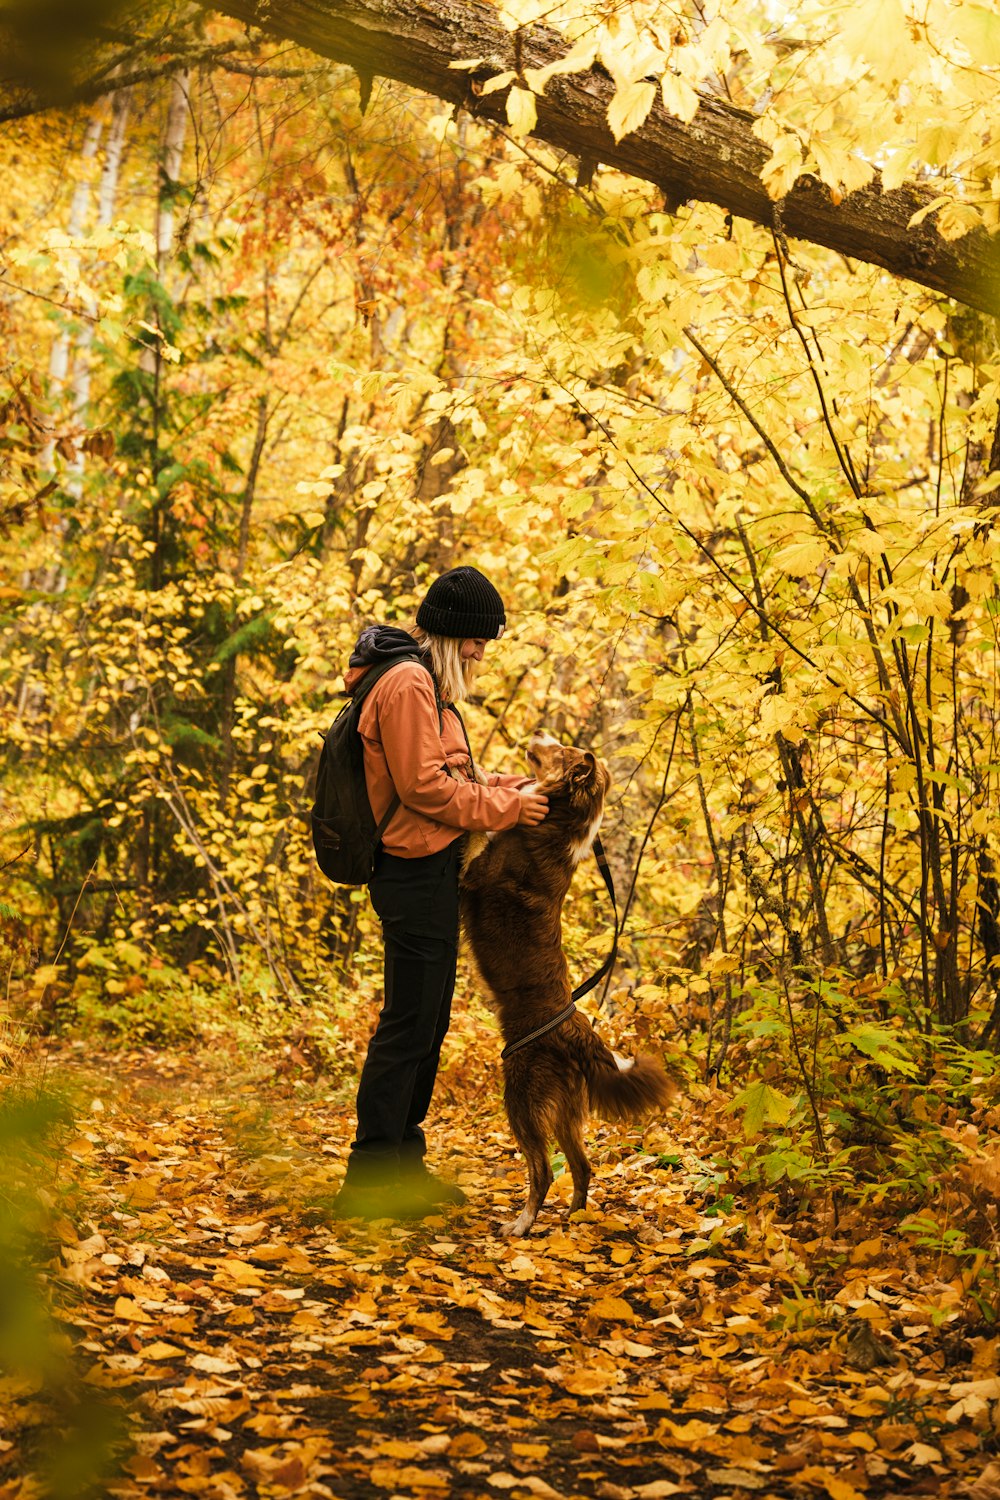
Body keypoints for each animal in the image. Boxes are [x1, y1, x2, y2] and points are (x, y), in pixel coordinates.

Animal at [458, 732, 677, 1236]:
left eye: (561, 750)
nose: (538, 732)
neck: (558, 819)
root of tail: (581, 1034)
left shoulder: (471, 874)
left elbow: (475, 835)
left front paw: (473, 774)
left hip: (522, 1096)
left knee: (541, 1170)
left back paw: (521, 1225)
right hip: (563, 1108)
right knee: (581, 1165)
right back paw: (574, 1220)